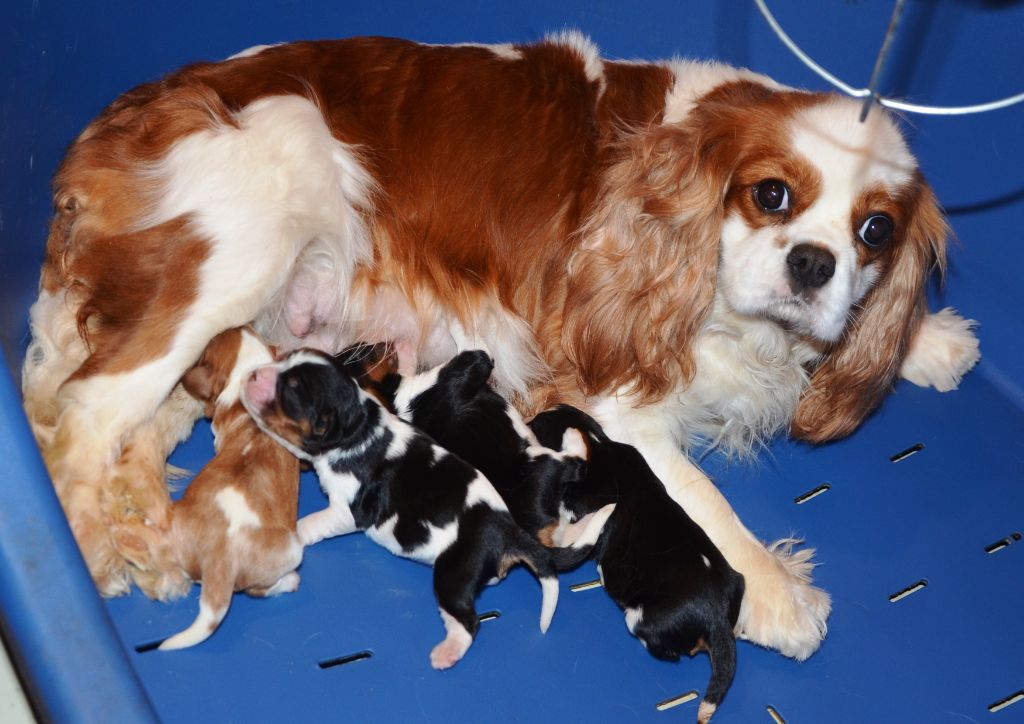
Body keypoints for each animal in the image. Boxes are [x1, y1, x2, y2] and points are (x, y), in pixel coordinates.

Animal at [240, 348, 598, 671]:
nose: (252, 374)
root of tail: (510, 530)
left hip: (457, 567)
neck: (364, 424)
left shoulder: (348, 508)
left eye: (291, 389)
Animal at [528, 407, 745, 724]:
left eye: (537, 425)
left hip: (639, 616)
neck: (600, 447)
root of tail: (715, 618)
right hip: (737, 582)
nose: (525, 421)